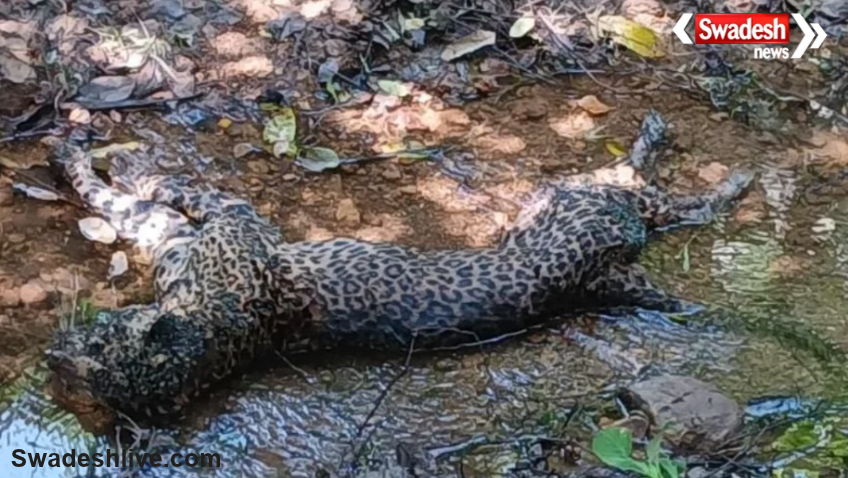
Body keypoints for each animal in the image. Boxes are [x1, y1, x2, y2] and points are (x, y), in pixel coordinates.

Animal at [45, 110, 753, 425]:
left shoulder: (228, 216)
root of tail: (590, 281)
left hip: (578, 194)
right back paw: (726, 179)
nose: (53, 354)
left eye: (97, 343)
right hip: (590, 208)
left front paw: (100, 156)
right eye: (87, 363)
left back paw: (719, 169)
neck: (212, 336)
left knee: (658, 186)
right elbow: (132, 195)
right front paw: (94, 157)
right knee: (671, 202)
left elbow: (148, 187)